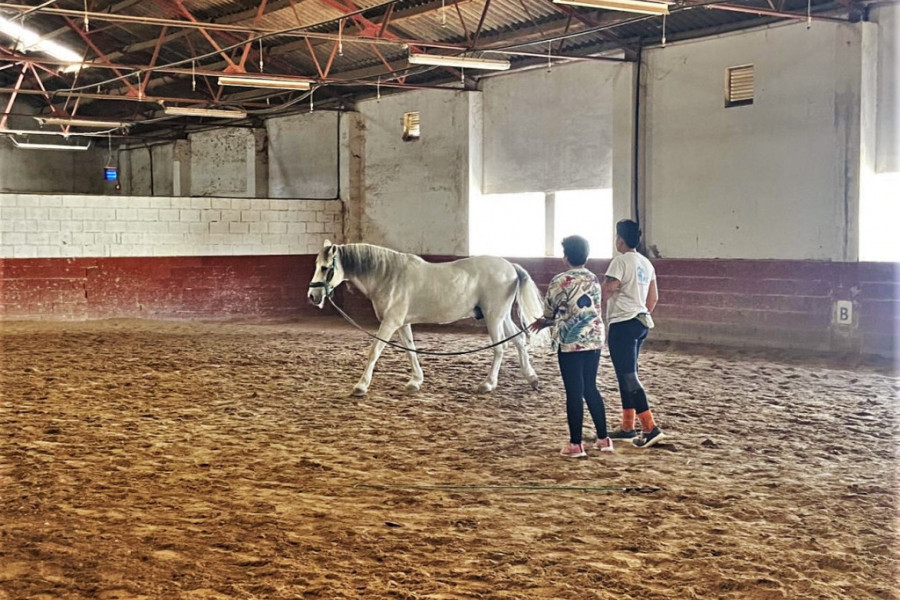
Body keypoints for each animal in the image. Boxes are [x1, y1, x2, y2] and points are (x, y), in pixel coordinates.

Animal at [308, 241, 548, 396]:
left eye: (325, 268)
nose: (312, 296)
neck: (389, 276)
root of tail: (511, 267)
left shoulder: (390, 322)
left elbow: (374, 351)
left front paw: (361, 386)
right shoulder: (402, 323)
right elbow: (410, 350)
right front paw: (415, 381)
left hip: (493, 317)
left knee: (500, 348)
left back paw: (488, 384)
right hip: (501, 317)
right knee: (518, 341)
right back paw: (532, 378)